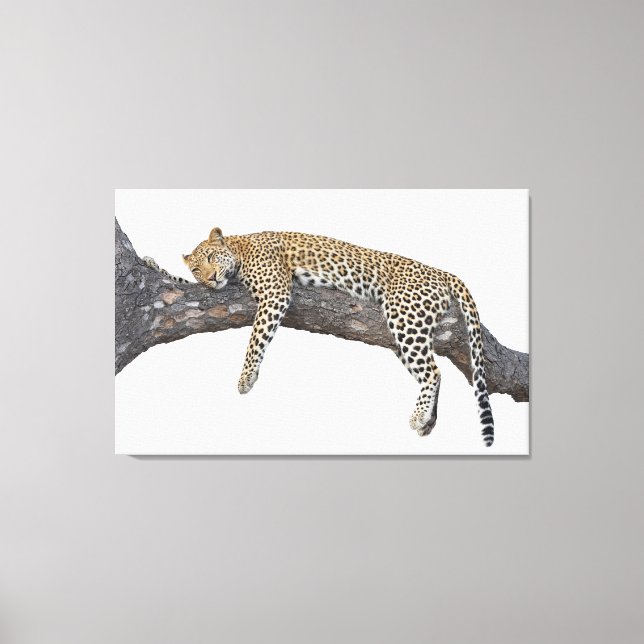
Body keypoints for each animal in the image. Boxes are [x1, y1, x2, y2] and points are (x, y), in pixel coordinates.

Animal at [152, 226, 495, 446]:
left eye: (212, 257)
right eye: (197, 269)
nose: (210, 278)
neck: (240, 247)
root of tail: (440, 271)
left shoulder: (275, 293)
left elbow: (255, 339)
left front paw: (246, 378)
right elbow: (181, 284)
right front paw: (153, 264)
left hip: (404, 316)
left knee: (433, 371)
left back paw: (418, 416)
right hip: (403, 333)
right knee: (432, 370)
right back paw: (428, 420)